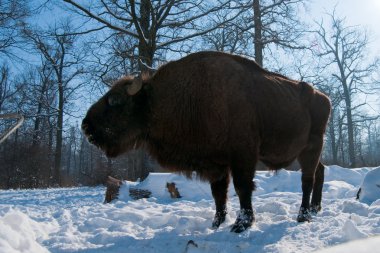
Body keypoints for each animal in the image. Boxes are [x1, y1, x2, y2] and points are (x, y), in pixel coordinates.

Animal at [82, 51, 330, 233]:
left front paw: (241, 224)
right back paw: (315, 208)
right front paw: (216, 223)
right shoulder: (214, 163)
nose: (85, 126)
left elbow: (242, 188)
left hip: (311, 147)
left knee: (307, 179)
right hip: (307, 151)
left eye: (115, 100)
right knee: (320, 171)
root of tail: (324, 97)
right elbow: (218, 193)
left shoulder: (243, 156)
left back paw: (303, 215)